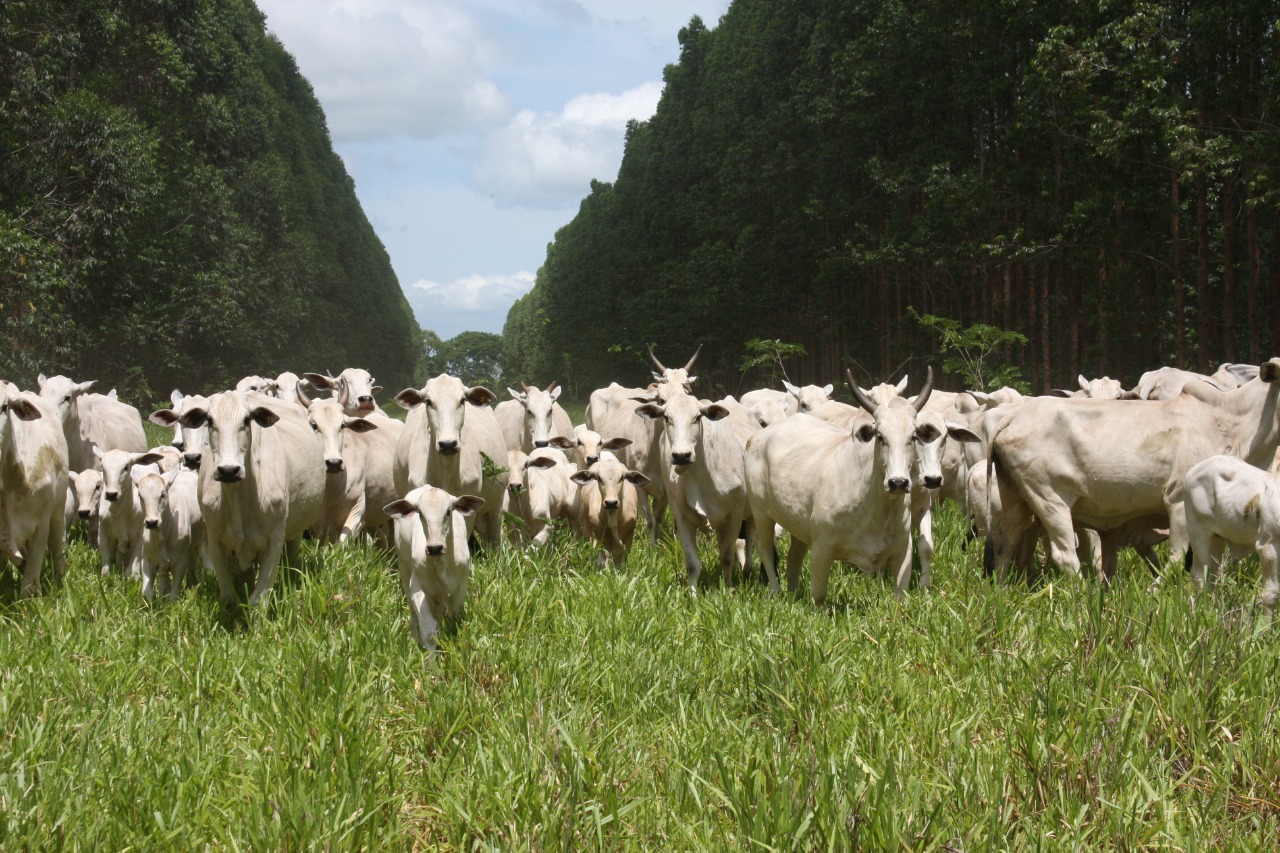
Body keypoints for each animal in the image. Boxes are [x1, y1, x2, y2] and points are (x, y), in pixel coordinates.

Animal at [136, 466, 203, 596]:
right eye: (140, 496)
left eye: (162, 494)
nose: (151, 522)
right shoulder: (147, 559)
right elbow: (147, 593)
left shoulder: (181, 560)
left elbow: (174, 595)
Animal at [384, 481, 483, 648]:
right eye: (420, 513)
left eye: (448, 511)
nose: (435, 548)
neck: (440, 562)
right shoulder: (417, 586)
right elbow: (429, 631)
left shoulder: (461, 586)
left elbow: (453, 617)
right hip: (405, 569)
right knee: (414, 614)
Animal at [747, 368, 947, 601]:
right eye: (880, 437)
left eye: (913, 437)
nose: (898, 482)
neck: (875, 505)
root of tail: (757, 437)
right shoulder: (822, 549)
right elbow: (818, 597)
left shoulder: (903, 552)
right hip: (761, 513)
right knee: (765, 548)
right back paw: (775, 590)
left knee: (794, 557)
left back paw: (793, 592)